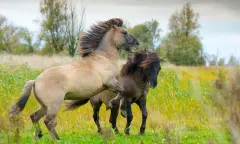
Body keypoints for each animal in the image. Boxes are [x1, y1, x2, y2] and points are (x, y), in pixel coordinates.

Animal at [9, 17, 140, 140]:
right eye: (124, 32)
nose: (137, 43)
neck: (104, 58)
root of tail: (35, 81)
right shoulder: (110, 82)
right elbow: (122, 92)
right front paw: (118, 108)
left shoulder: (110, 85)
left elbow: (122, 93)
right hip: (54, 105)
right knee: (49, 121)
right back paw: (57, 139)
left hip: (44, 106)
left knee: (34, 116)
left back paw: (38, 136)